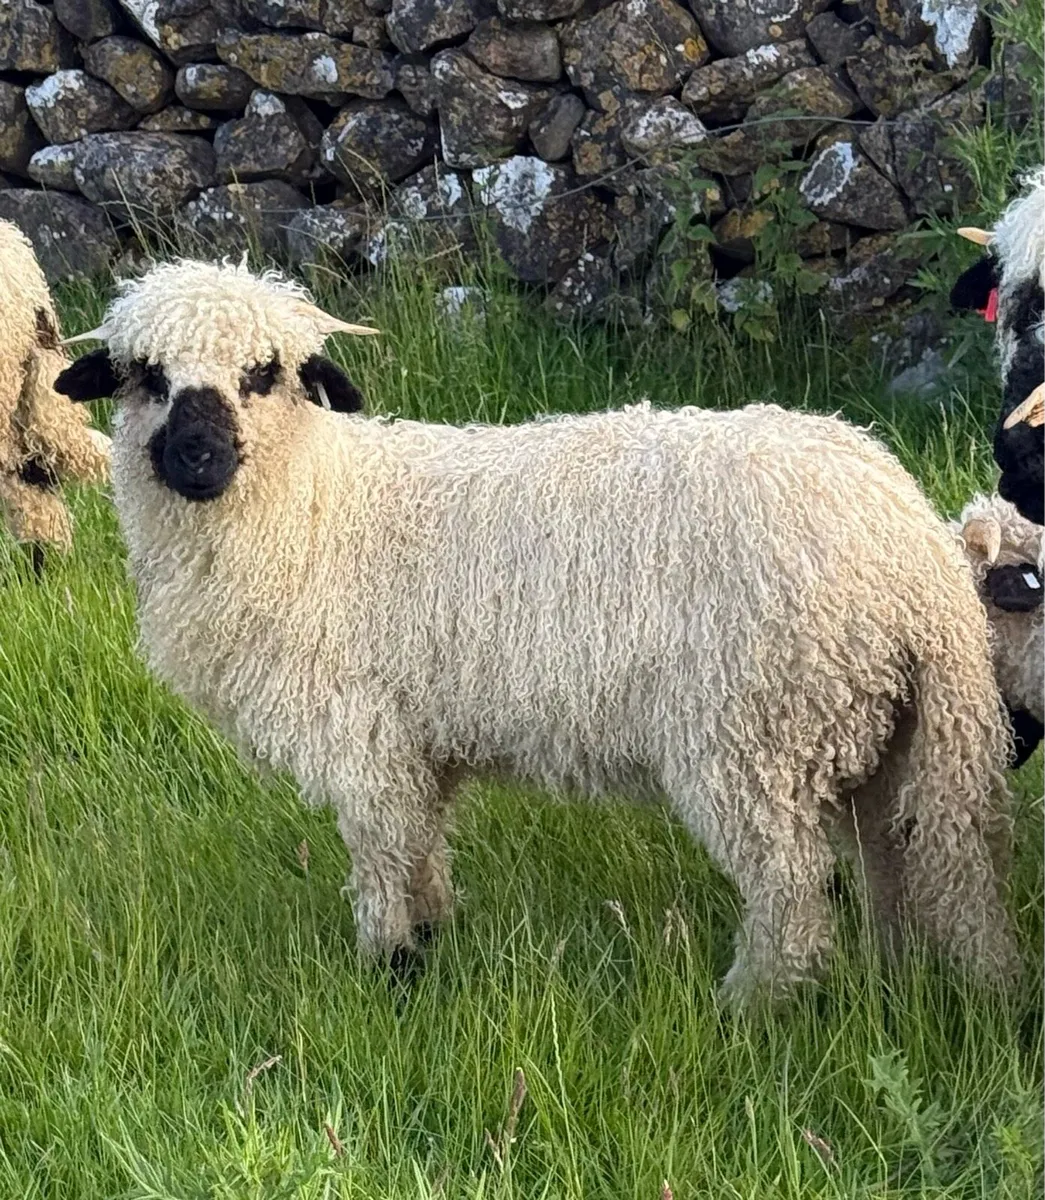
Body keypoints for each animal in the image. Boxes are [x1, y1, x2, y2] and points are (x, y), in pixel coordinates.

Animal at [54, 257, 1019, 1003]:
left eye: (264, 374)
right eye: (145, 376)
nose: (197, 458)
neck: (314, 509)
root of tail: (911, 553)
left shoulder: (361, 735)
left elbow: (380, 854)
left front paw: (386, 966)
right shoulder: (420, 739)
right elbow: (422, 845)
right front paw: (433, 935)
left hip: (753, 736)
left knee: (791, 892)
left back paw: (749, 1006)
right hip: (885, 738)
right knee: (913, 862)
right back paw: (907, 978)